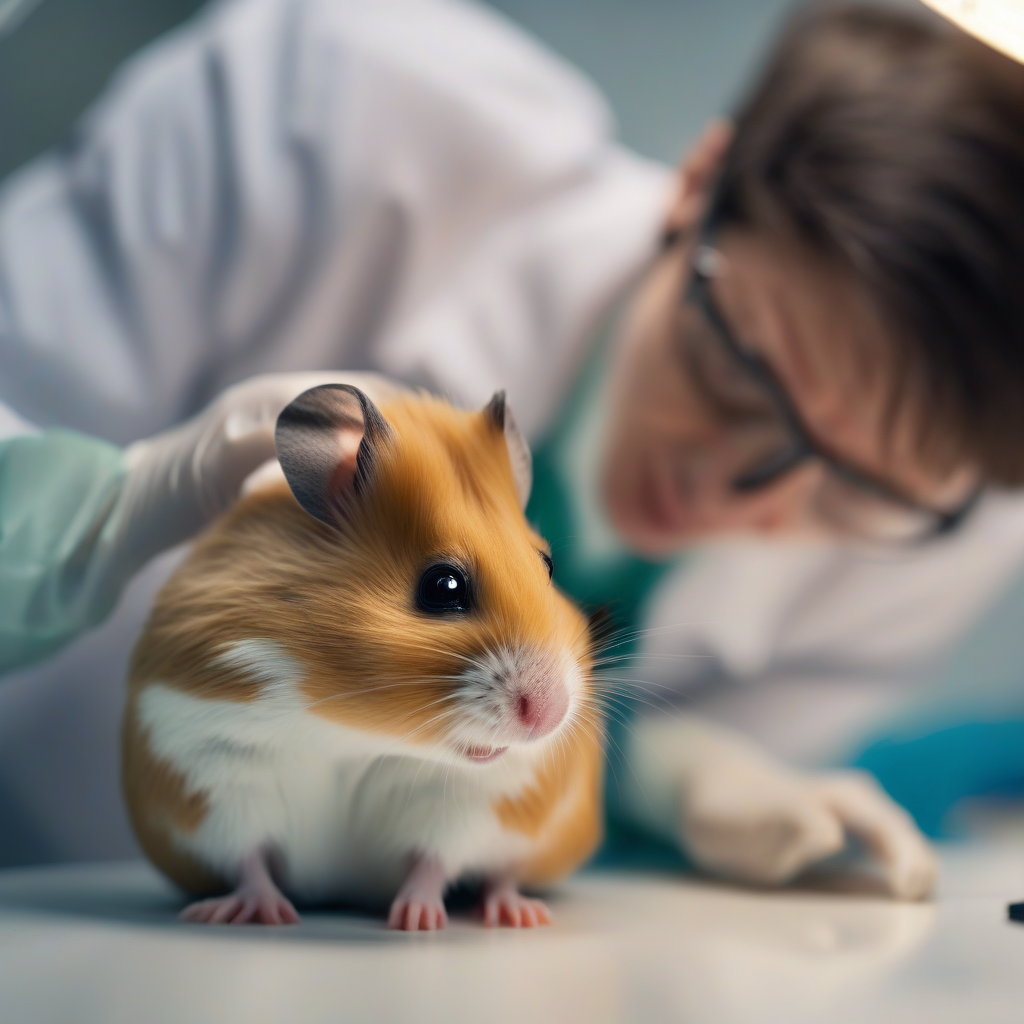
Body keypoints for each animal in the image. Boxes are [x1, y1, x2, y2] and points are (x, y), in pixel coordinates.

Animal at [122, 384, 603, 930]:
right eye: (443, 587)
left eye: (548, 565)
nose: (551, 715)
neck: (354, 735)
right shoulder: (212, 767)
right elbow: (247, 858)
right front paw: (261, 915)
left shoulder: (474, 800)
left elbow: (435, 860)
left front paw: (415, 921)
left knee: (503, 874)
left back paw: (517, 914)